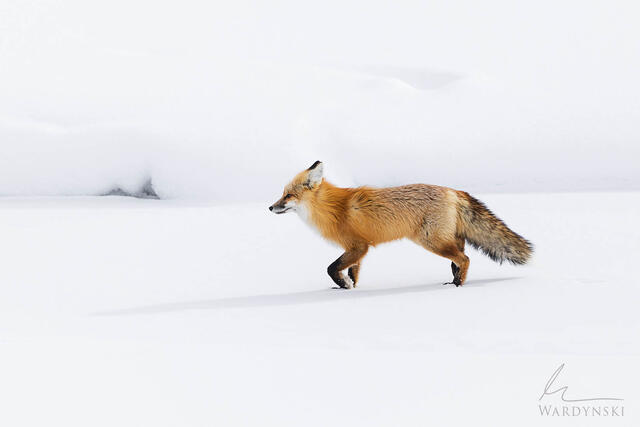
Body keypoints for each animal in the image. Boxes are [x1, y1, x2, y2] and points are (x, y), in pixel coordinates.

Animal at [269, 161, 532, 289]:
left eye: (288, 196)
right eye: (282, 194)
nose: (270, 208)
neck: (334, 209)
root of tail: (453, 190)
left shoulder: (358, 246)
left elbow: (332, 268)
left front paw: (343, 284)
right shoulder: (357, 249)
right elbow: (354, 271)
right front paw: (350, 287)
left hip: (431, 241)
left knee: (465, 258)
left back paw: (457, 285)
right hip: (445, 238)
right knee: (460, 255)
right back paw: (455, 278)